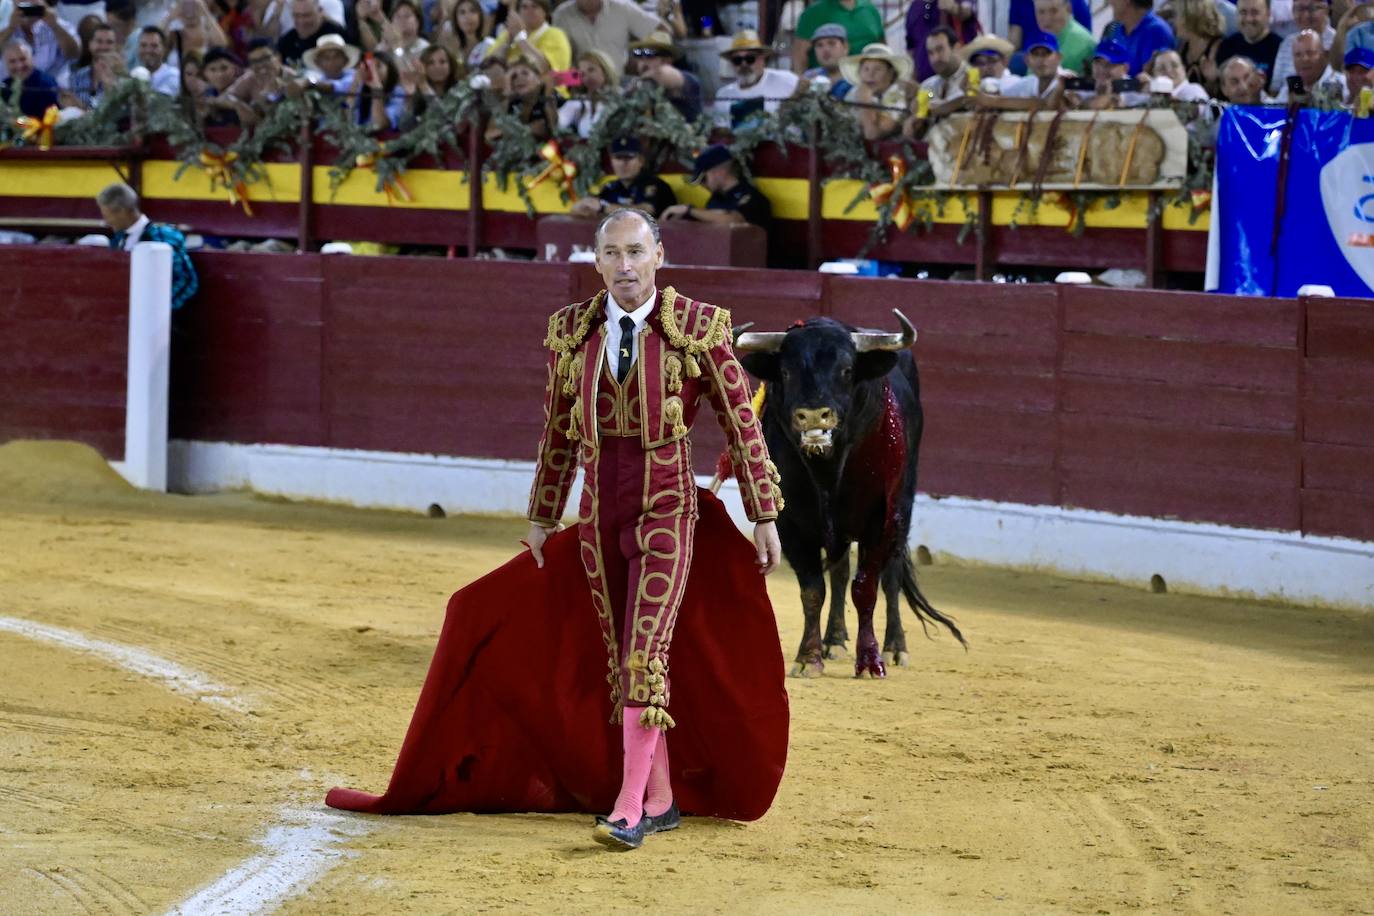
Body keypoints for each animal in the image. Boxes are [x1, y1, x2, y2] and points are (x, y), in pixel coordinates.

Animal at [730, 311, 967, 678]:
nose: (814, 415)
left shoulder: (881, 520)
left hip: (902, 509)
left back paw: (896, 646)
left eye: (845, 370)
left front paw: (870, 661)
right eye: (786, 371)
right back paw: (835, 639)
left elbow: (866, 587)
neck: (828, 471)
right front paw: (808, 657)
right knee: (840, 572)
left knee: (891, 576)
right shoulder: (792, 526)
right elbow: (814, 590)